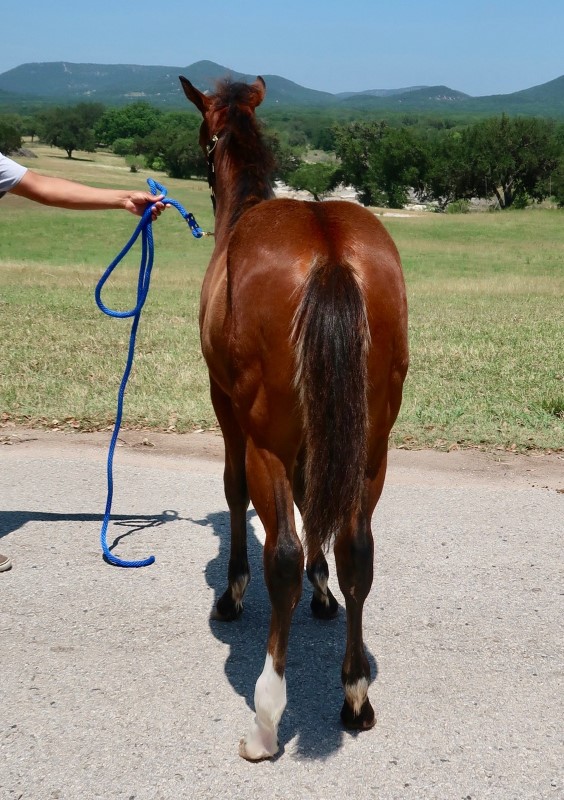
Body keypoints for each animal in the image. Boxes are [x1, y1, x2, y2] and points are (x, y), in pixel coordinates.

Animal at [183, 73, 408, 756]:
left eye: (203, 137)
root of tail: (328, 249)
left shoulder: (226, 406)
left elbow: (234, 493)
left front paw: (233, 592)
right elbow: (318, 506)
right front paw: (322, 588)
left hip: (268, 440)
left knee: (278, 551)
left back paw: (266, 715)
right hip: (371, 448)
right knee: (359, 548)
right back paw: (355, 694)